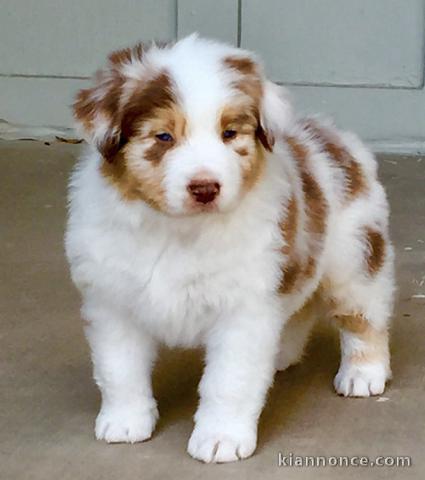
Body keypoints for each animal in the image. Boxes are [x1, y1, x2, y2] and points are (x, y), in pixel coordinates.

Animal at [66, 33, 394, 462]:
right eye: (164, 137)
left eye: (229, 134)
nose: (205, 188)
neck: (178, 232)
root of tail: (335, 135)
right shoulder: (111, 302)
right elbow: (119, 369)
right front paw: (124, 422)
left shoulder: (243, 310)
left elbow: (228, 382)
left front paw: (220, 439)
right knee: (298, 307)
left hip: (354, 257)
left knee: (364, 316)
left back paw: (363, 373)